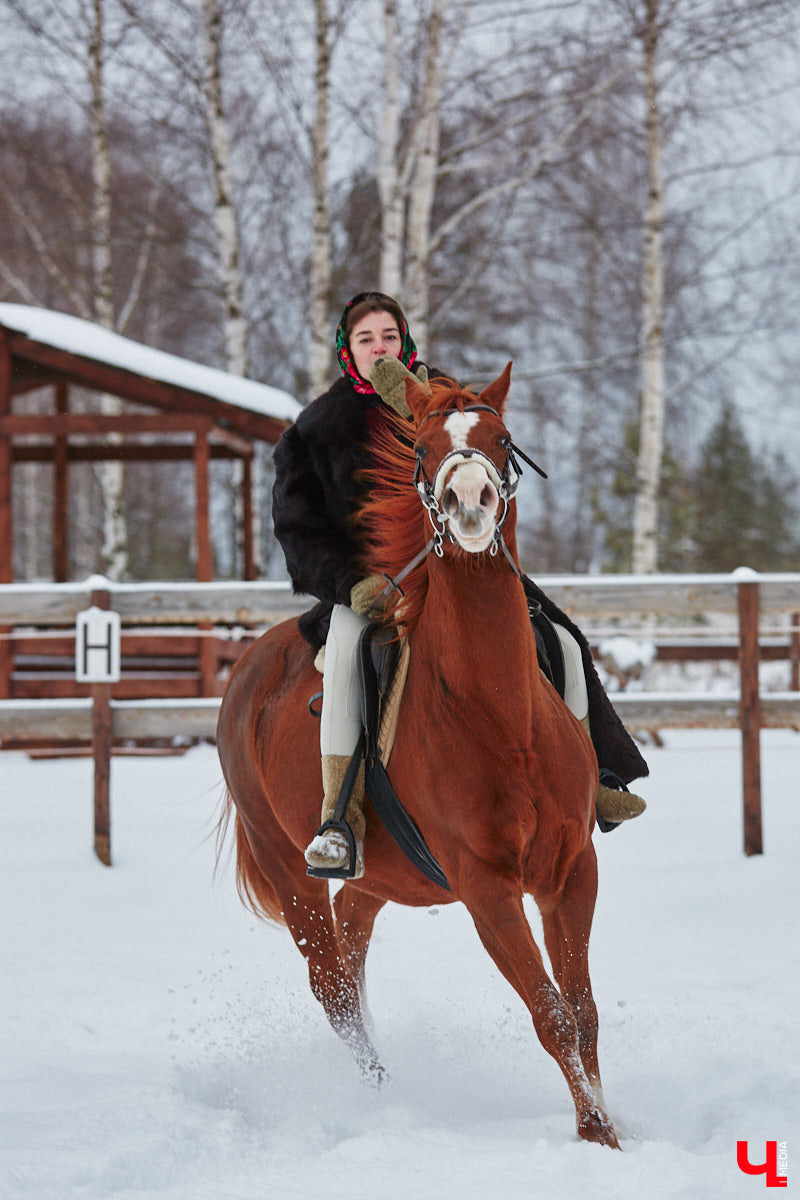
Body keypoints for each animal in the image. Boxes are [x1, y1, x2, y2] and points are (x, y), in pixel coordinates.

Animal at [214, 362, 618, 1142]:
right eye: (425, 451)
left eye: (501, 439)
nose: (470, 503)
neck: (502, 719)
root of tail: (247, 670)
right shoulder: (487, 889)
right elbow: (551, 1014)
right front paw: (598, 1136)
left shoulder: (572, 871)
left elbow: (583, 1013)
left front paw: (611, 1126)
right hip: (288, 872)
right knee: (333, 989)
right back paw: (380, 1094)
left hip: (375, 881)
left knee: (351, 949)